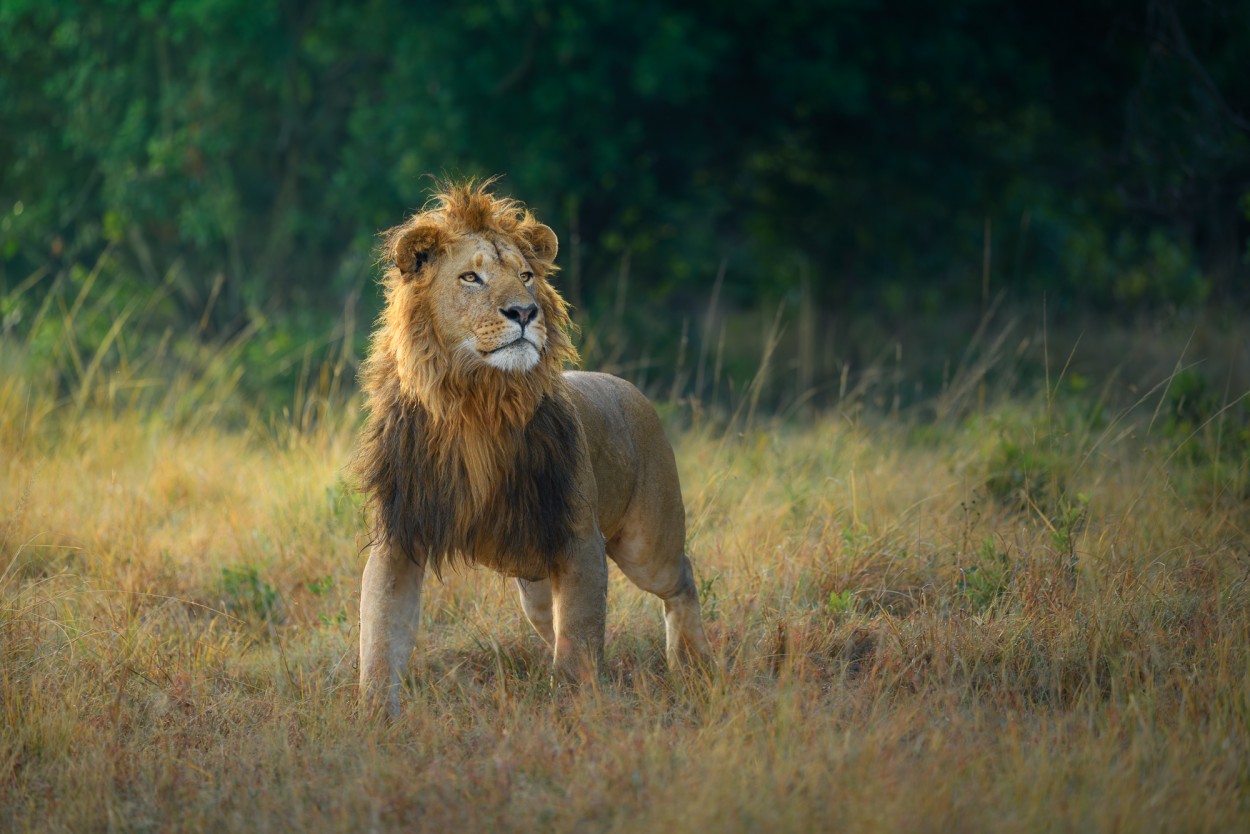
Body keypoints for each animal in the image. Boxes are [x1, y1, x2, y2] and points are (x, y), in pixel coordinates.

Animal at [352, 180, 715, 715]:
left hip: (647, 546)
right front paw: (375, 717)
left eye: (525, 276)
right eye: (471, 277)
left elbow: (579, 646)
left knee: (681, 577)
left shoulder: (579, 541)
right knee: (554, 624)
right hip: (537, 583)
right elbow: (378, 638)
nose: (525, 311)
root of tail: (629, 387)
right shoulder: (400, 535)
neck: (476, 402)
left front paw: (572, 712)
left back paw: (693, 664)